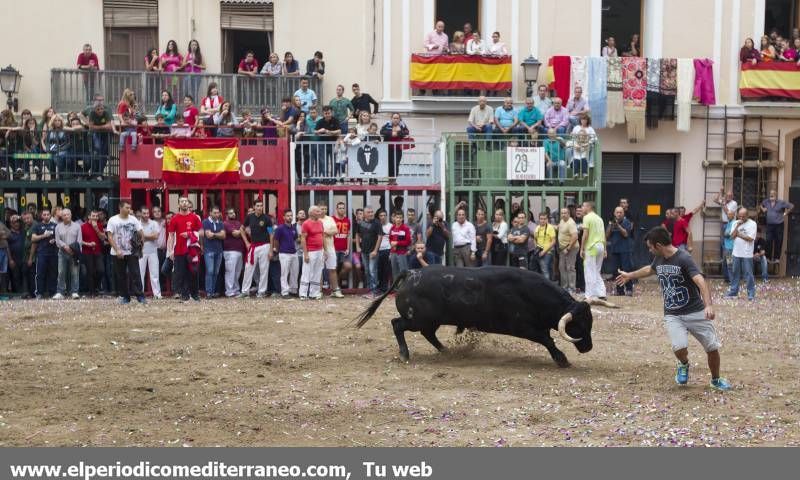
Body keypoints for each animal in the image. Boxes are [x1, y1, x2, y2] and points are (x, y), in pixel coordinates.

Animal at [354, 266, 616, 368]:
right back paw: (404, 354)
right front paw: (562, 359)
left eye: (590, 322)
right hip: (416, 319)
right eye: (578, 325)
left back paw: (446, 351)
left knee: (429, 334)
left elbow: (547, 338)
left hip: (430, 321)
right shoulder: (524, 327)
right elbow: (547, 340)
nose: (588, 347)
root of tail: (411, 273)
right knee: (397, 324)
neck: (532, 293)